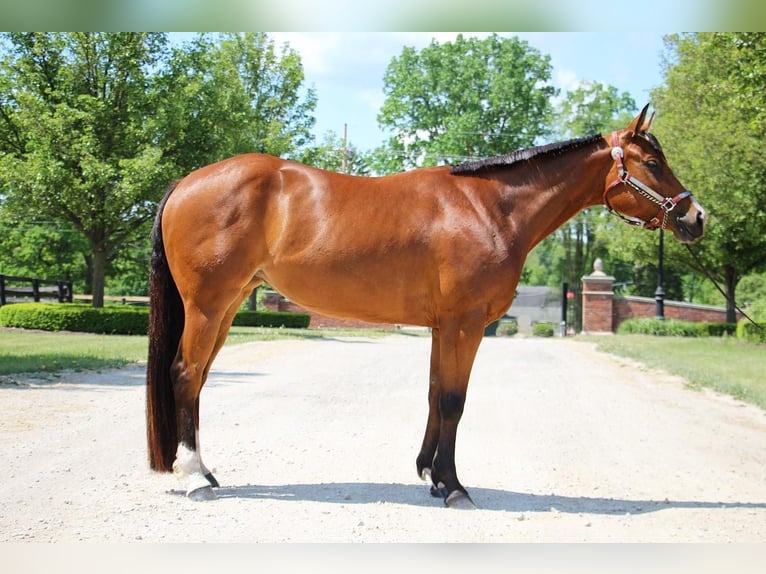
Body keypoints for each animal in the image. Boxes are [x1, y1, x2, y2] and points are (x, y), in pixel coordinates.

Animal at [146, 106, 708, 510]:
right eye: (652, 163)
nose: (696, 217)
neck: (490, 208)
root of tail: (185, 183)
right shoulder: (466, 325)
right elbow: (455, 401)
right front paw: (455, 487)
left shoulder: (443, 327)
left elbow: (437, 395)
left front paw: (431, 476)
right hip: (208, 306)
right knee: (185, 373)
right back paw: (195, 479)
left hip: (226, 308)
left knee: (197, 379)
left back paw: (207, 472)